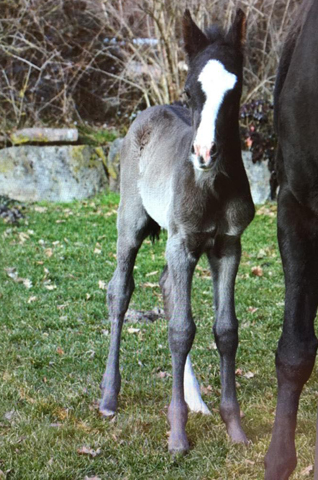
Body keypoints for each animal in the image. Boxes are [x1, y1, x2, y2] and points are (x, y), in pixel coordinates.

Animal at [99, 11, 253, 454]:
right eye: (189, 90)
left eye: (236, 90)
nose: (204, 153)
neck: (211, 186)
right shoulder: (182, 243)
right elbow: (182, 330)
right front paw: (178, 436)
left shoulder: (228, 245)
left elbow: (225, 330)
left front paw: (234, 427)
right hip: (130, 223)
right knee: (120, 292)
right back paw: (109, 397)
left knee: (167, 286)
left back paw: (196, 399)